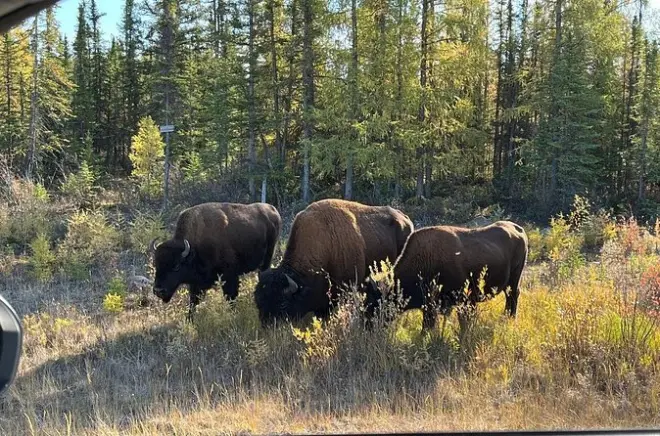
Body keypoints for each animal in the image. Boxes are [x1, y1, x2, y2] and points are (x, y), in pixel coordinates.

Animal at [150, 202, 282, 320]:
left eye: (176, 266)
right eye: (156, 264)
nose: (158, 290)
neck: (194, 247)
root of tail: (273, 210)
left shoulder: (229, 276)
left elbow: (230, 297)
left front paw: (234, 315)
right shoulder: (196, 283)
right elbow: (193, 301)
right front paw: (189, 320)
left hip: (267, 258)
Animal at [363, 220, 528, 331]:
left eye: (374, 303)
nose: (366, 326)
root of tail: (519, 229)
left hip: (515, 279)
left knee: (513, 296)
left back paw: (510, 318)